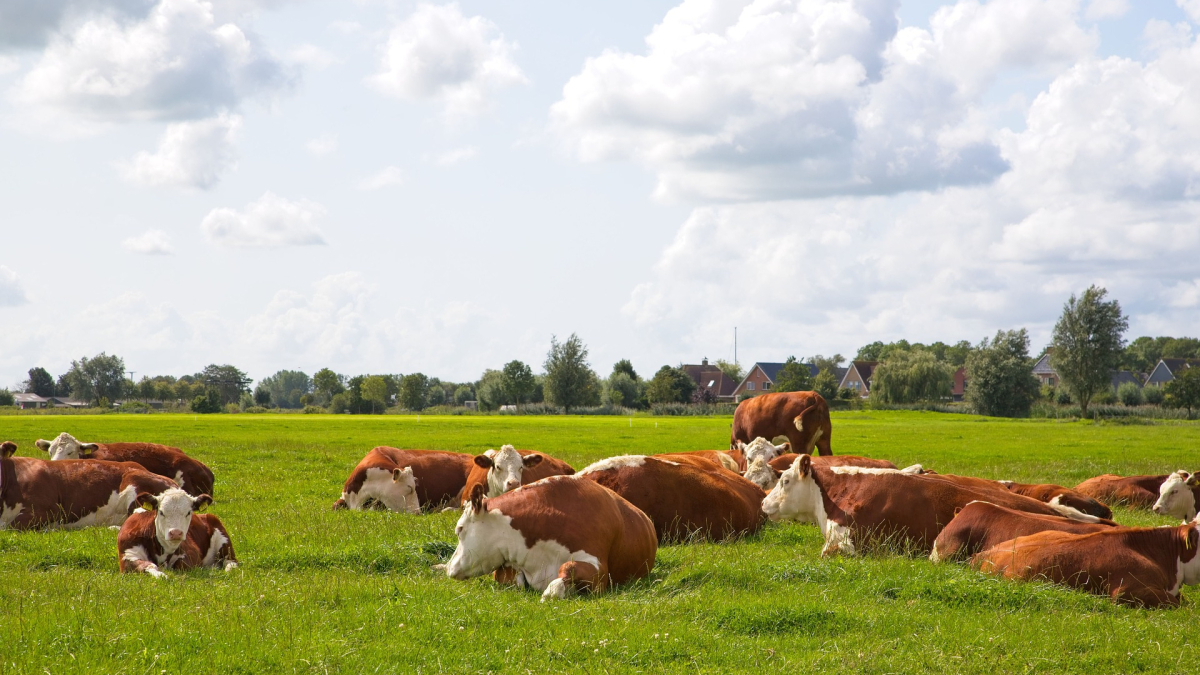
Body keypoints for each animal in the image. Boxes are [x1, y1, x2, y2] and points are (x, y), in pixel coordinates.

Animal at [445, 477, 657, 601]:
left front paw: (554, 591)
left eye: (459, 529)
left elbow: (568, 568)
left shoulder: (600, 573)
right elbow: (509, 576)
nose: (449, 568)